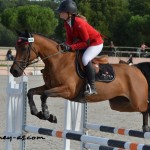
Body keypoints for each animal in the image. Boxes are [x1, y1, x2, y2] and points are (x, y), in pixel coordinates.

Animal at [10, 30, 150, 131]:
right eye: (16, 47)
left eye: (24, 48)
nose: (14, 71)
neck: (57, 61)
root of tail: (136, 69)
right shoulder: (49, 86)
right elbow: (31, 92)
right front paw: (38, 113)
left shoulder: (67, 90)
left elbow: (44, 95)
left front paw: (47, 114)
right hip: (118, 103)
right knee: (142, 110)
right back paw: (145, 127)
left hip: (137, 101)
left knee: (145, 108)